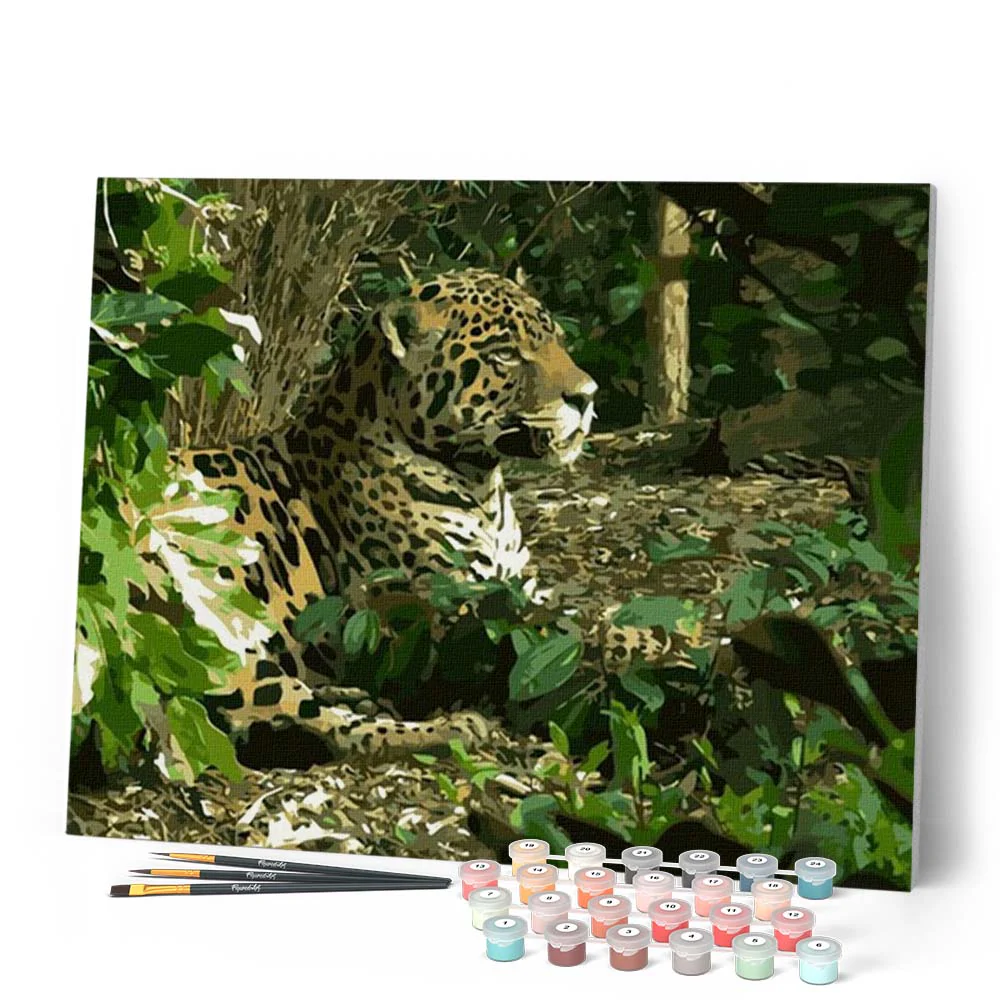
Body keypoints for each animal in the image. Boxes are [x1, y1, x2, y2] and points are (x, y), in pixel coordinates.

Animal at [171, 269, 598, 759]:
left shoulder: (517, 587)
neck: (482, 486)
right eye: (505, 355)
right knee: (328, 727)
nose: (587, 396)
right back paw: (450, 727)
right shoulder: (447, 616)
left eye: (556, 340)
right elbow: (568, 644)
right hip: (221, 633)